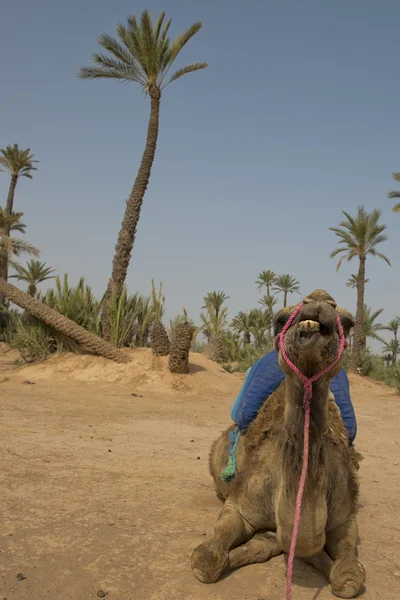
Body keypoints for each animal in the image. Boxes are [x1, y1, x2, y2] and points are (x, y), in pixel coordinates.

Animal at [191, 290, 366, 596]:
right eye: (280, 319)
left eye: (348, 323)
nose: (319, 300)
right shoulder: (240, 505)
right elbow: (207, 560)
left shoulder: (345, 515)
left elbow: (348, 575)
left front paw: (342, 573)